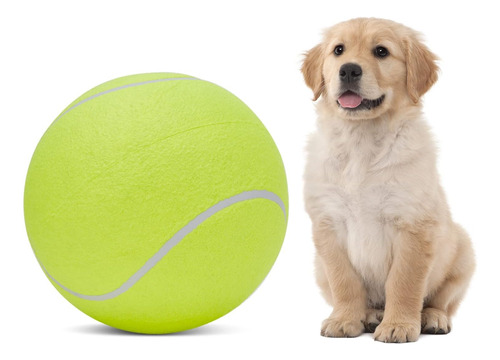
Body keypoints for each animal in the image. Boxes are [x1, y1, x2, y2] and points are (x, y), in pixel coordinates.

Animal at [300, 17, 476, 344]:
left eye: (381, 51)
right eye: (338, 50)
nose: (349, 70)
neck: (362, 141)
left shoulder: (412, 223)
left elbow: (404, 282)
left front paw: (399, 325)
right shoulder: (328, 224)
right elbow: (344, 280)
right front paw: (344, 319)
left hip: (463, 251)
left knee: (441, 300)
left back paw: (431, 318)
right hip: (318, 268)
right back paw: (370, 315)